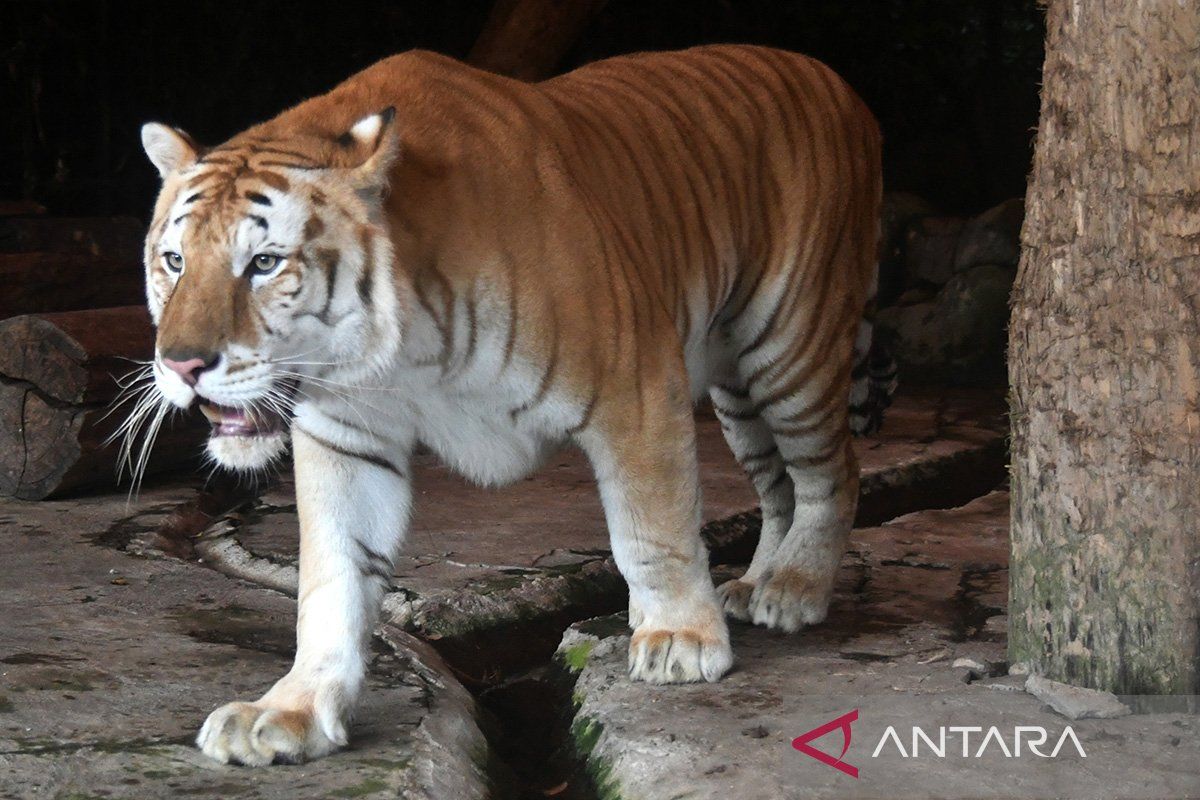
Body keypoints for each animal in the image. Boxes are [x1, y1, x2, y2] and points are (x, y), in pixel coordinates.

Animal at [138, 42, 892, 762]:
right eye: (175, 261)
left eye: (264, 264)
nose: (181, 363)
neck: (403, 346)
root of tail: (837, 80)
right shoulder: (346, 433)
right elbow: (332, 576)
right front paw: (291, 709)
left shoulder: (637, 387)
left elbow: (652, 531)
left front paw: (679, 639)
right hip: (737, 387)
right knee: (778, 485)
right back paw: (755, 584)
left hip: (790, 345)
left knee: (831, 472)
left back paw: (794, 588)